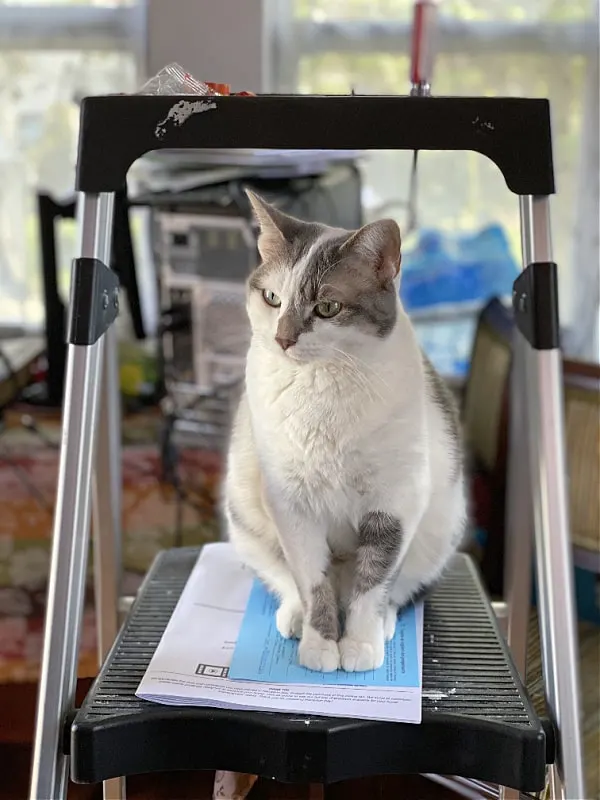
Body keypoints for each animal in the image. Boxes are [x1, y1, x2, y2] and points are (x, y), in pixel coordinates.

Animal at [225, 191, 468, 672]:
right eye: (272, 298)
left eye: (328, 307)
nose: (282, 339)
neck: (322, 388)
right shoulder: (291, 505)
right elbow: (311, 580)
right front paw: (320, 646)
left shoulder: (395, 504)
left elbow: (374, 581)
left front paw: (359, 646)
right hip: (245, 516)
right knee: (285, 578)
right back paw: (295, 617)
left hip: (441, 529)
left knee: (397, 586)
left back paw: (384, 622)